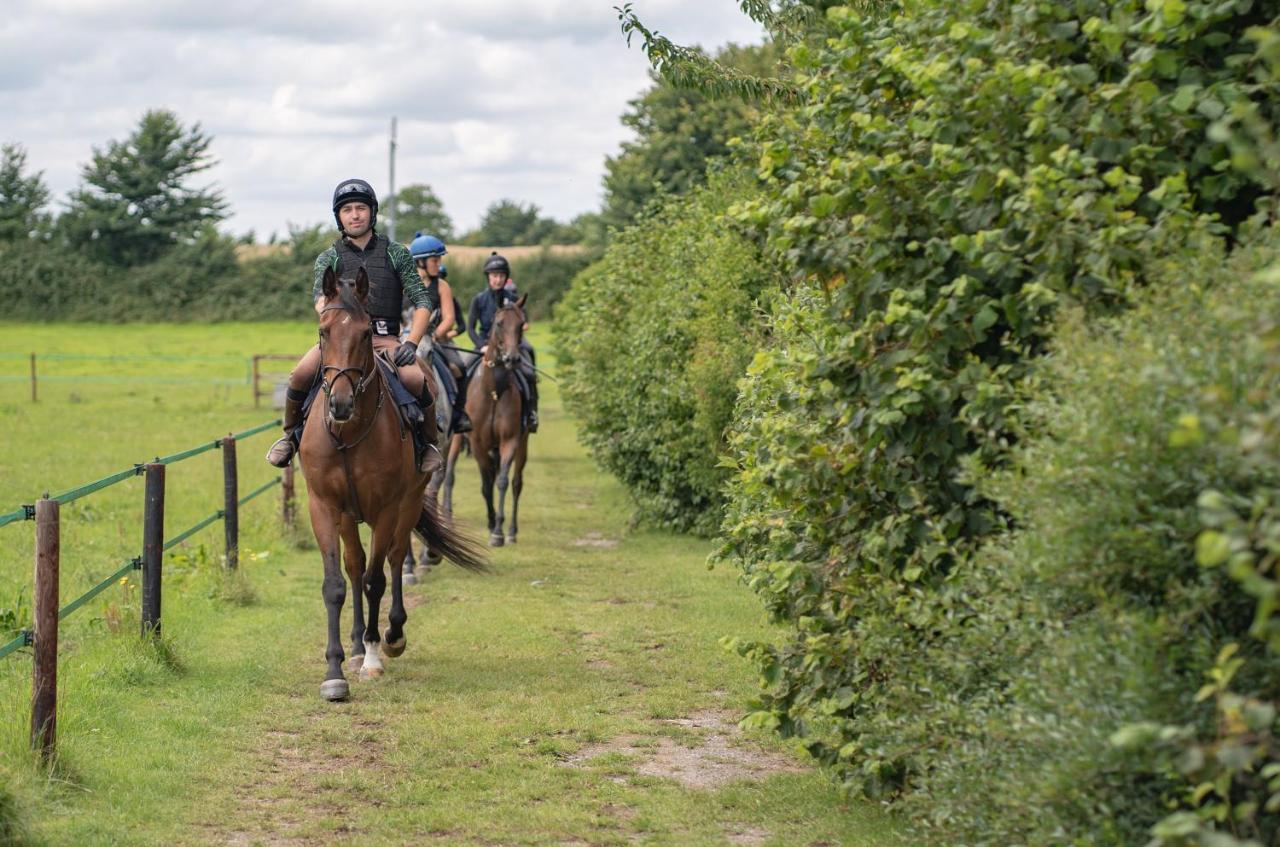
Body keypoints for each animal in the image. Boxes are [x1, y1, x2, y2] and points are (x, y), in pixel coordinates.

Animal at [296, 267, 486, 701]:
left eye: (367, 333)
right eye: (323, 331)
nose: (341, 404)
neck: (349, 435)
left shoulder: (385, 509)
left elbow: (376, 579)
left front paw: (373, 656)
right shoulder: (325, 507)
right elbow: (337, 583)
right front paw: (336, 672)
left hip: (409, 502)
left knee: (395, 559)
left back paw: (392, 635)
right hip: (349, 517)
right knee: (355, 566)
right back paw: (354, 645)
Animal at [460, 295, 529, 550]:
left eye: (521, 324)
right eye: (499, 323)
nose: (512, 359)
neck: (494, 392)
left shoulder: (510, 440)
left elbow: (501, 481)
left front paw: (498, 532)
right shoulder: (478, 444)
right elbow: (486, 484)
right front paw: (491, 523)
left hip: (523, 443)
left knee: (517, 482)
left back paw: (512, 530)